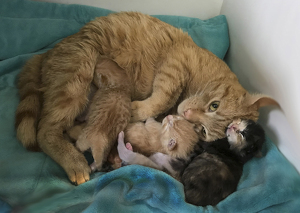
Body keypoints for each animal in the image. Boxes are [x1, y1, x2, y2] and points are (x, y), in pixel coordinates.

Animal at [15, 11, 278, 185]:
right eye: (214, 105)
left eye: (203, 131)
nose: (186, 114)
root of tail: (48, 52)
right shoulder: (174, 65)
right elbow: (163, 96)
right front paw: (138, 109)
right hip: (76, 79)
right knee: (45, 131)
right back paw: (75, 162)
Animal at [118, 119, 266, 206]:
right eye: (240, 121)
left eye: (242, 134)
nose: (233, 125)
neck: (235, 153)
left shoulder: (204, 147)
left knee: (128, 154)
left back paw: (122, 140)